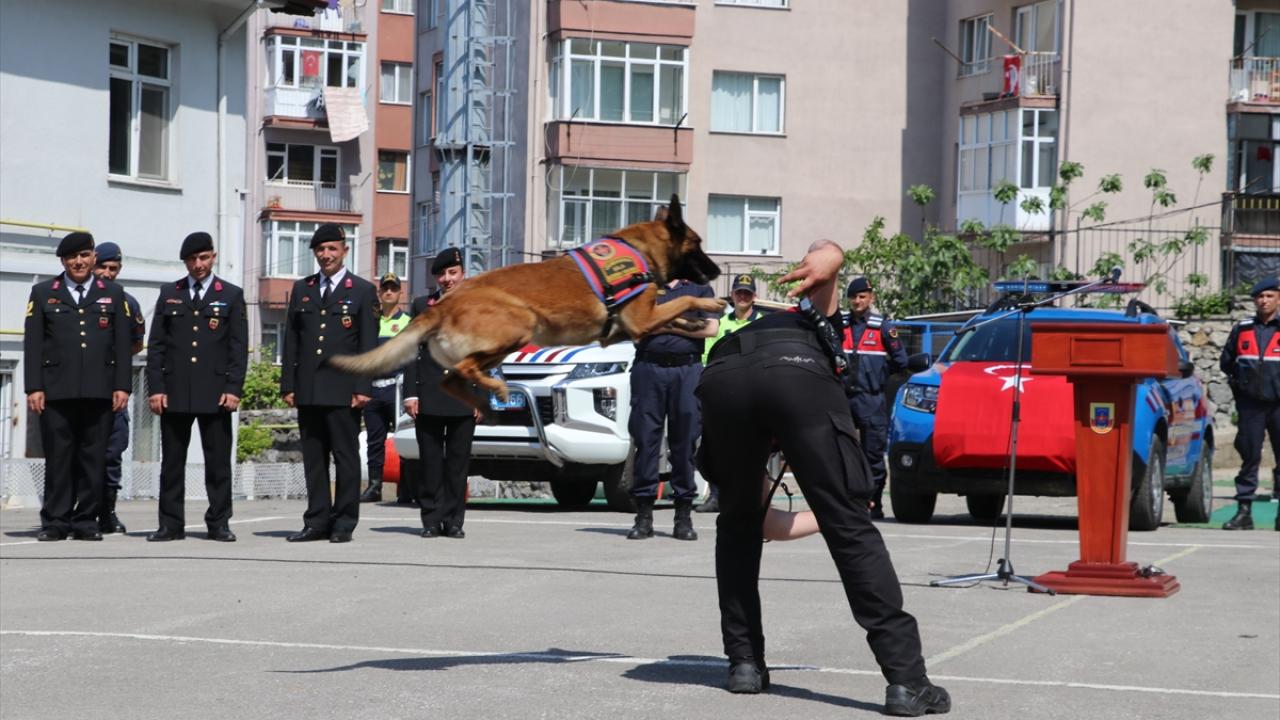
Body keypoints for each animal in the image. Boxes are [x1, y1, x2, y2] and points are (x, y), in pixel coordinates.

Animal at [328, 195, 726, 409]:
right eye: (698, 244)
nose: (719, 269)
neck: (641, 248)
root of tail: (442, 305)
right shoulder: (641, 320)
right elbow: (682, 300)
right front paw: (713, 307)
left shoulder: (635, 326)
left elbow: (675, 317)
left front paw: (695, 321)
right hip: (519, 326)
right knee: (464, 370)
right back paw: (496, 390)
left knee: (451, 380)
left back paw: (483, 404)